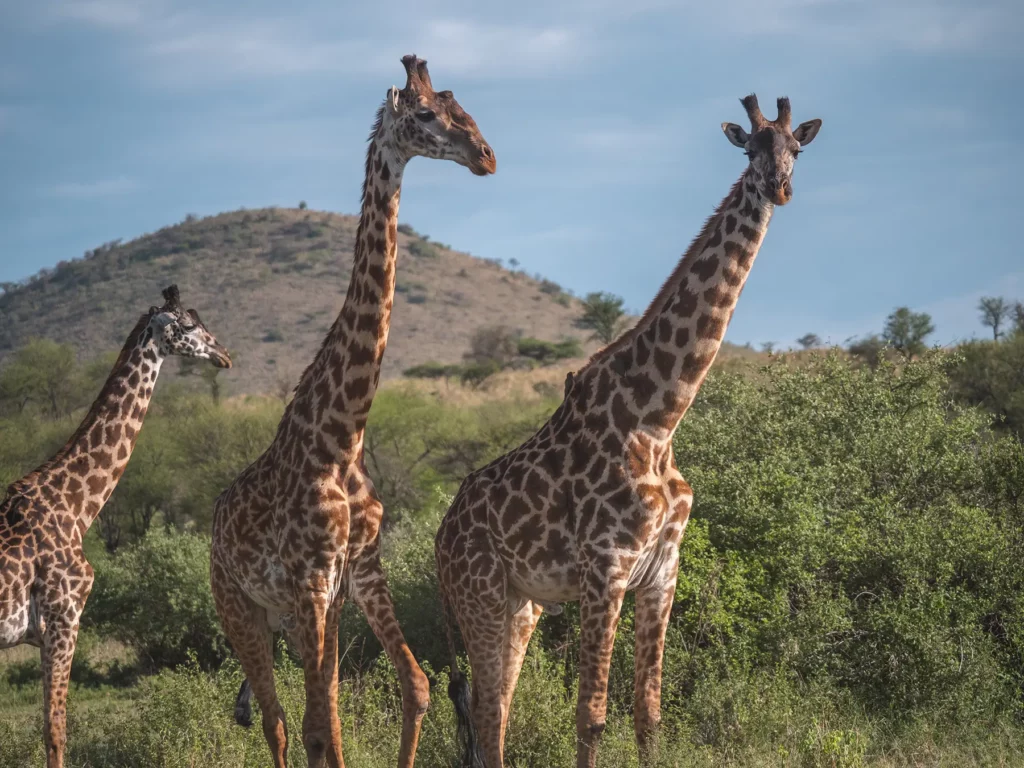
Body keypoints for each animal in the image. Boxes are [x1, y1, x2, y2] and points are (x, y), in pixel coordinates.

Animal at [210, 55, 495, 768]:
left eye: (462, 106)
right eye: (424, 113)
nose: (486, 156)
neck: (342, 436)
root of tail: (212, 526)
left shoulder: (352, 569)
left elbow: (404, 690)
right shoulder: (312, 579)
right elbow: (318, 728)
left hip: (296, 612)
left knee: (321, 707)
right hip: (240, 608)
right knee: (277, 719)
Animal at [436, 95, 822, 768]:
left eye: (796, 148)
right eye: (751, 147)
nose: (780, 187)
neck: (659, 419)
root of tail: (438, 539)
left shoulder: (662, 569)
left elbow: (649, 712)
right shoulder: (605, 568)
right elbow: (591, 716)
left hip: (520, 604)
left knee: (496, 709)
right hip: (477, 593)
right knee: (485, 711)